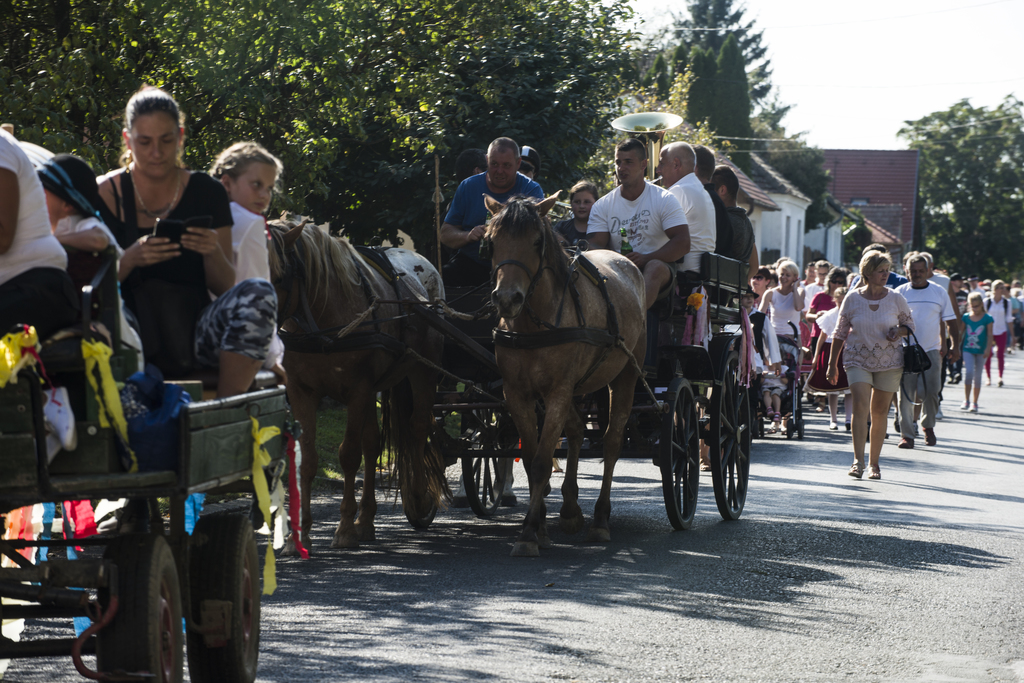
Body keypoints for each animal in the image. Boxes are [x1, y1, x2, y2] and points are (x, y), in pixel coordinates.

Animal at [268, 222, 448, 552]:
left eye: (279, 275)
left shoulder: (358, 390)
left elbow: (349, 455)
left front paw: (344, 528)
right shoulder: (302, 393)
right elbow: (307, 459)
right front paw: (302, 535)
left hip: (423, 372)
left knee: (417, 427)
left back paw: (417, 497)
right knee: (373, 444)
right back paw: (366, 520)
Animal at [483, 194, 643, 557]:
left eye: (536, 241)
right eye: (491, 242)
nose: (507, 298)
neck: (532, 325)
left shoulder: (557, 391)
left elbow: (542, 462)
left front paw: (529, 533)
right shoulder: (518, 394)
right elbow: (531, 459)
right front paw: (540, 525)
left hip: (625, 373)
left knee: (611, 442)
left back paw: (600, 519)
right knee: (577, 431)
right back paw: (570, 508)